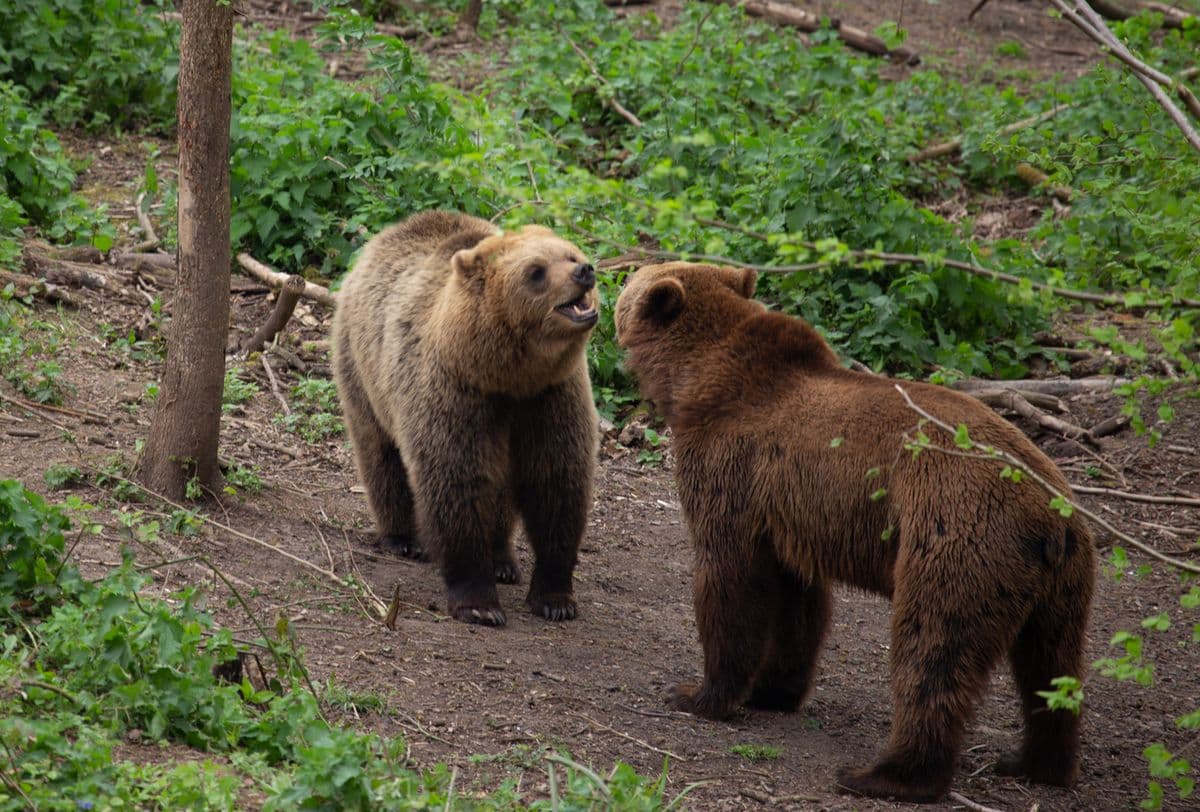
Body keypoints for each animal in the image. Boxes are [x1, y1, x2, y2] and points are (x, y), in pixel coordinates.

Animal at [331, 210, 600, 627]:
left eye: (570, 254)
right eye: (536, 271)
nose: (585, 271)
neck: (508, 375)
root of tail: (389, 233)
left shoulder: (551, 397)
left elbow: (557, 482)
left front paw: (555, 598)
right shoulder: (455, 394)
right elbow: (457, 482)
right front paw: (479, 603)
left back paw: (502, 558)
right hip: (363, 372)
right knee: (380, 456)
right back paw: (401, 538)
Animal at [614, 261, 1096, 803]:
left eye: (627, 283)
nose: (605, 282)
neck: (694, 379)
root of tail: (1052, 517)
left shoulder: (733, 468)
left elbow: (729, 579)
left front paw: (697, 693)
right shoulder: (789, 514)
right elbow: (797, 604)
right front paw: (772, 690)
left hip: (959, 540)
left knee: (933, 648)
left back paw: (886, 774)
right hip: (1064, 583)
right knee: (1051, 666)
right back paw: (1036, 762)